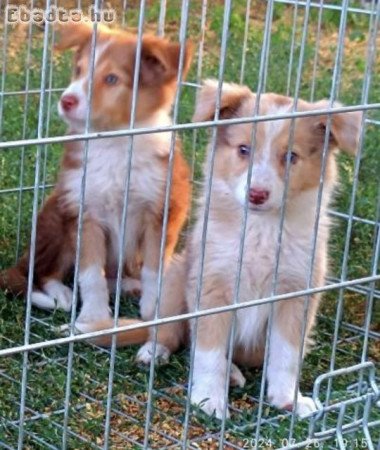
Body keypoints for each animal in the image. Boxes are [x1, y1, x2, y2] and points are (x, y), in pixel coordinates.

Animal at [0, 21, 193, 328]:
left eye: (111, 79)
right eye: (78, 70)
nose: (66, 100)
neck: (114, 141)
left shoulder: (163, 210)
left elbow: (154, 269)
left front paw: (153, 309)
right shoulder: (85, 212)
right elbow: (90, 274)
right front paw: (93, 317)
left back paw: (128, 285)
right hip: (58, 216)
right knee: (45, 273)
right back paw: (62, 294)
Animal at [81, 80, 360, 418]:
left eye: (290, 157)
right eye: (243, 150)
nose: (257, 194)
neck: (260, 229)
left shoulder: (296, 295)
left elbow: (286, 356)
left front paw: (288, 398)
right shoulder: (213, 287)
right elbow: (208, 352)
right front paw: (209, 400)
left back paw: (235, 373)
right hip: (174, 280)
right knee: (170, 333)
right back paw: (155, 352)